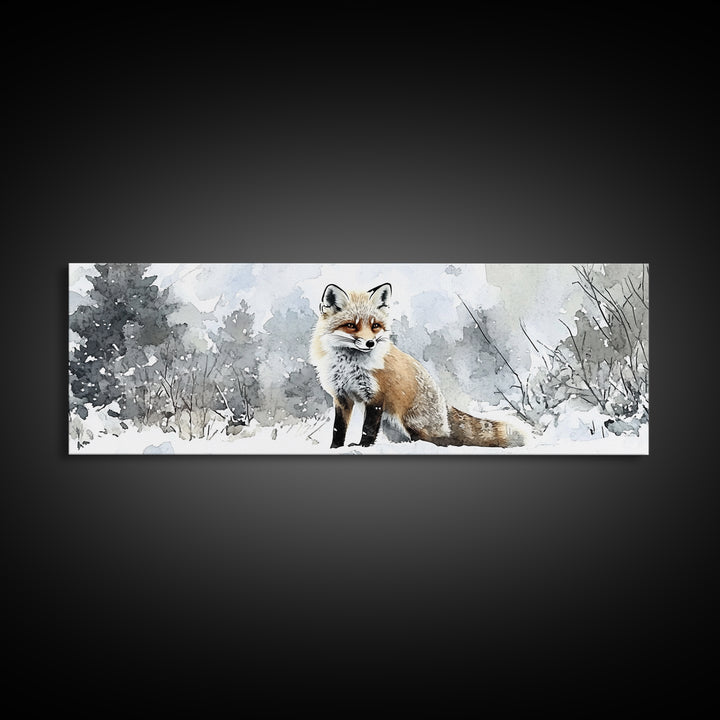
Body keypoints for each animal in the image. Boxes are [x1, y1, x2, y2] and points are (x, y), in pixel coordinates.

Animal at [310, 282, 525, 449]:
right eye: (351, 325)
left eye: (375, 326)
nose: (370, 343)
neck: (349, 366)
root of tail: (444, 404)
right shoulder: (341, 396)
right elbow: (338, 429)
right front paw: (335, 448)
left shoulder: (376, 396)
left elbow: (368, 429)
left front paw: (363, 446)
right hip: (392, 428)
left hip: (410, 422)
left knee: (442, 441)